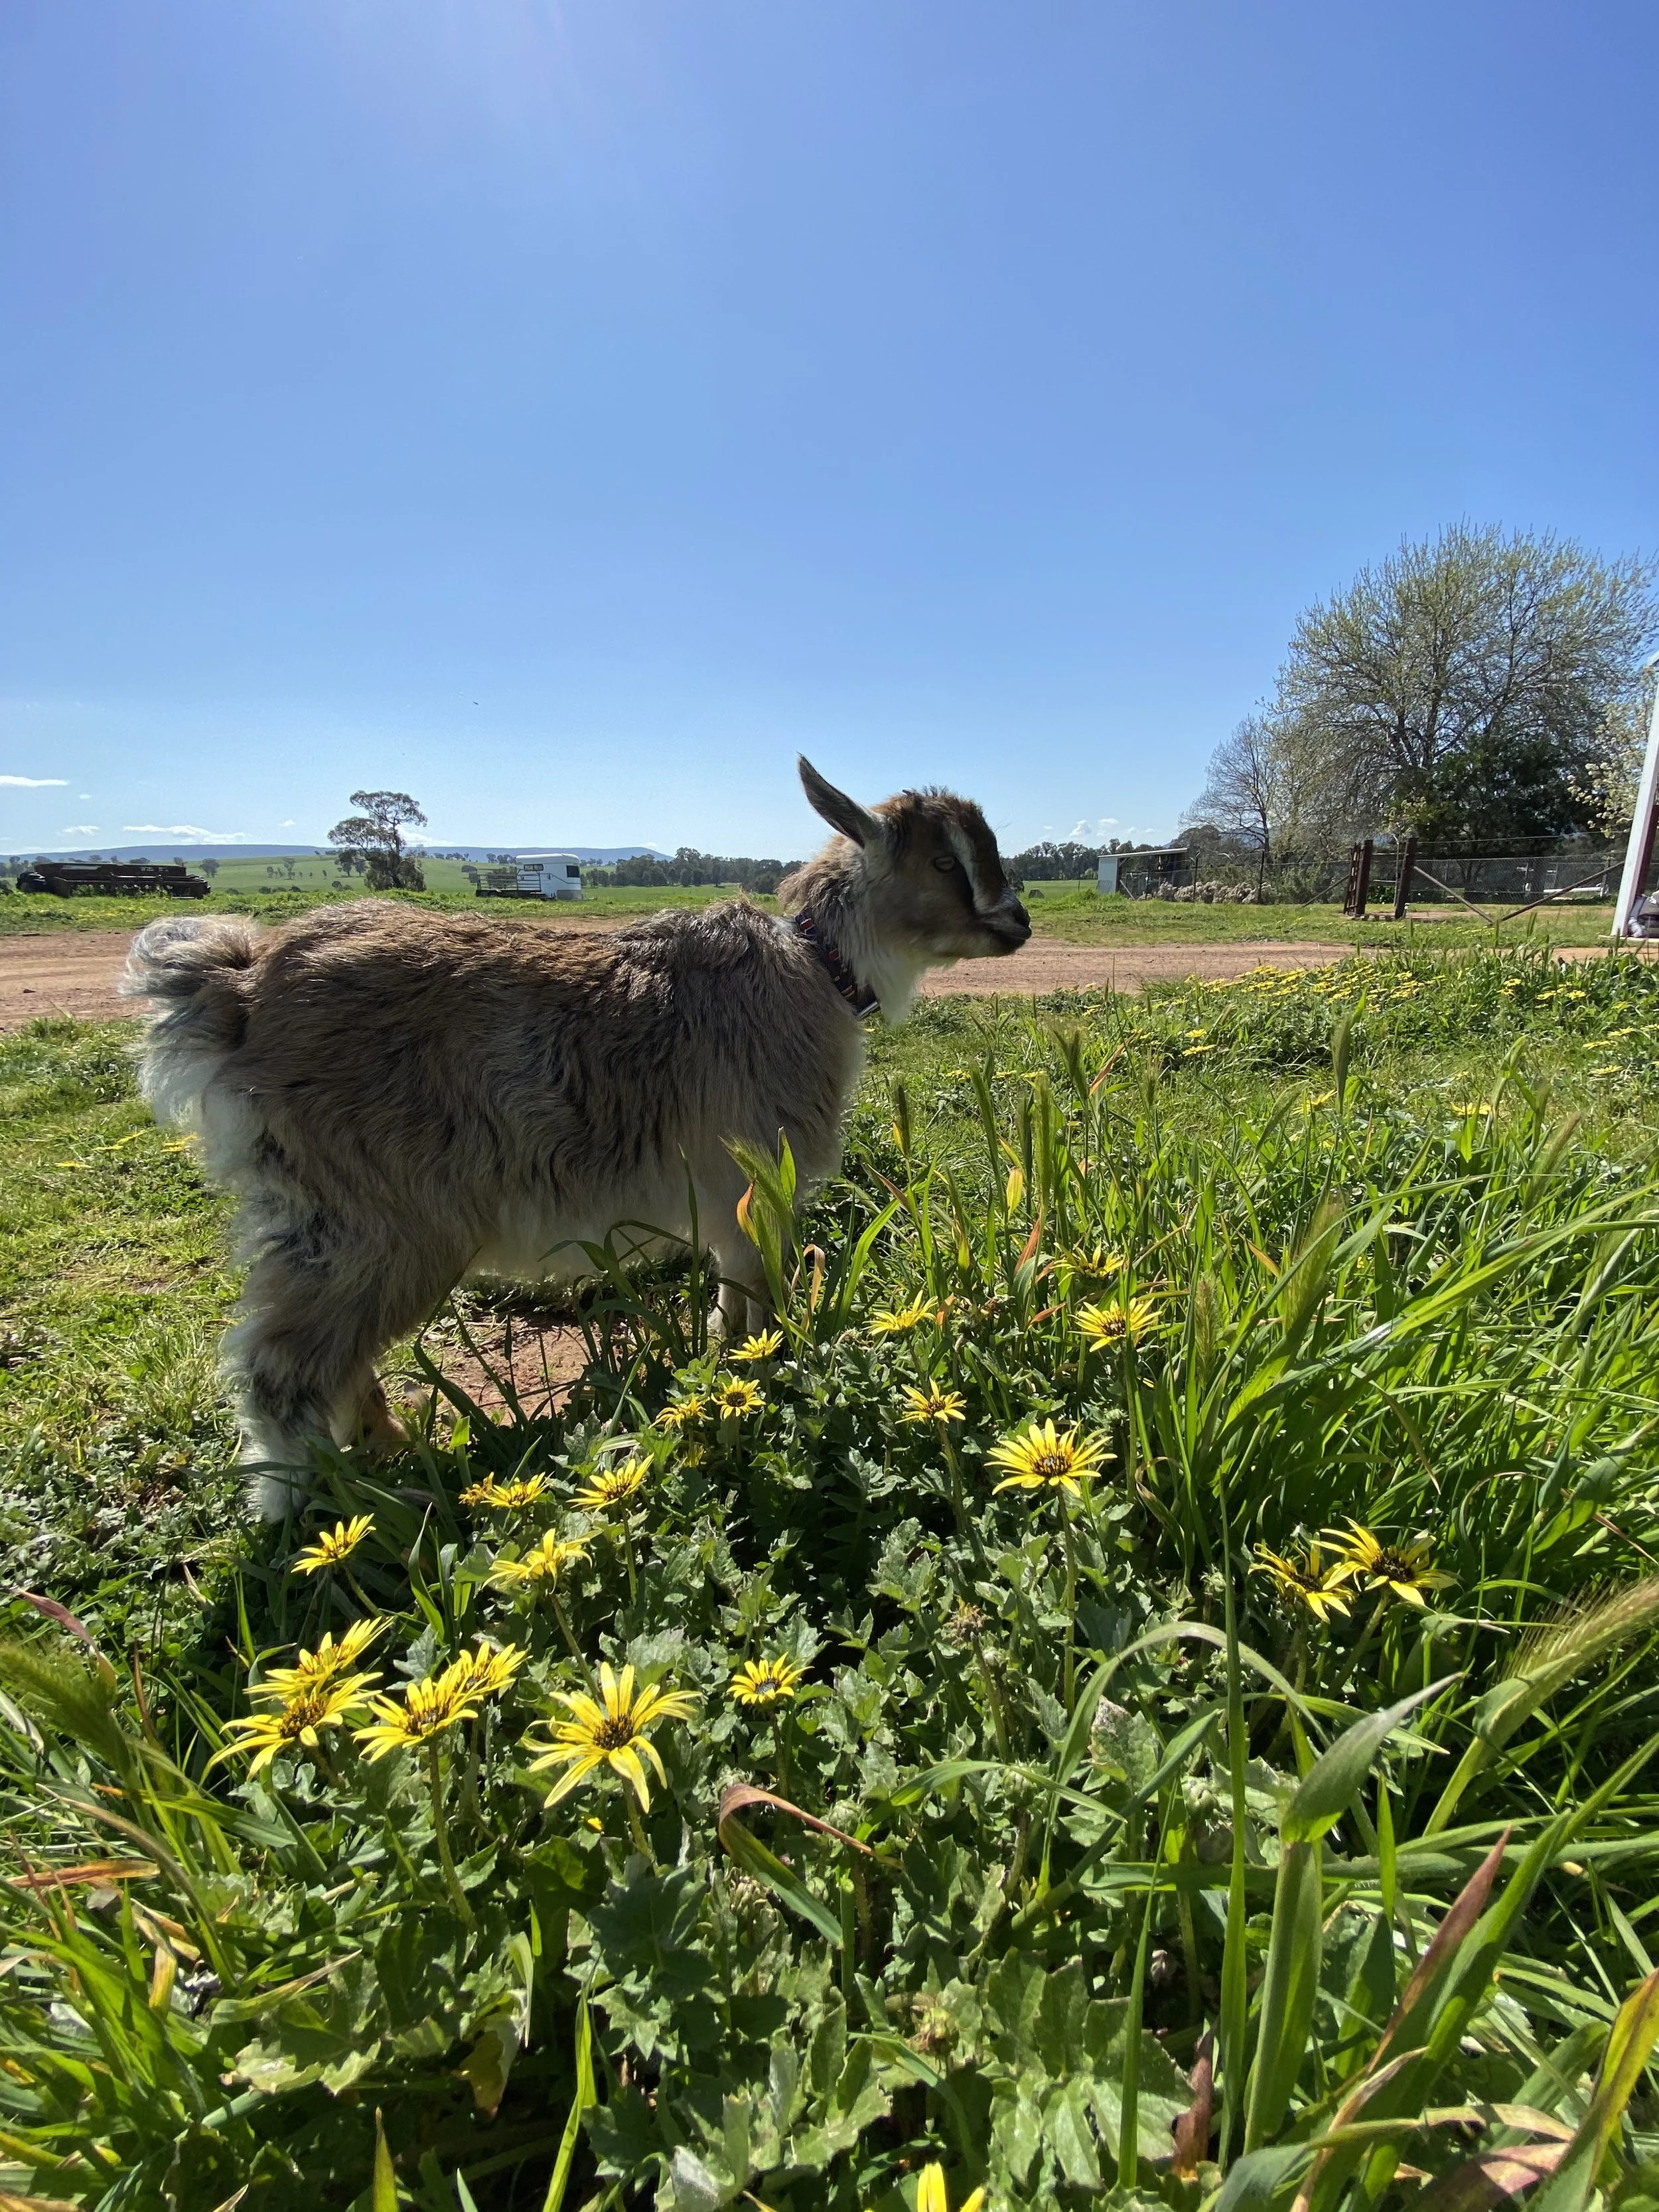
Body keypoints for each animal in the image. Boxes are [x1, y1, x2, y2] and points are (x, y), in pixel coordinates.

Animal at [123, 758, 1031, 1518]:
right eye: (944, 863)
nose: (1017, 924)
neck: (816, 968)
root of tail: (241, 986)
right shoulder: (759, 1179)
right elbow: (761, 1301)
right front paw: (774, 1377)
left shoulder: (730, 1203)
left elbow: (732, 1303)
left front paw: (731, 1370)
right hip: (376, 1219)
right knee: (286, 1366)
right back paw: (324, 1509)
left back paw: (383, 1454)